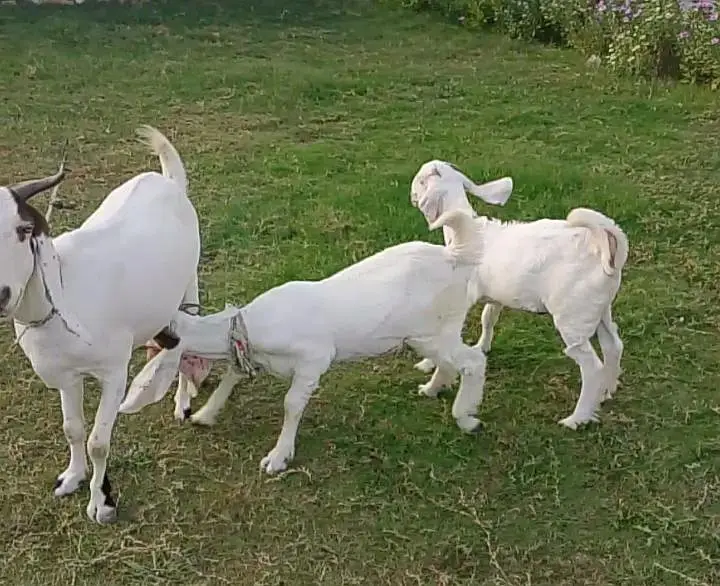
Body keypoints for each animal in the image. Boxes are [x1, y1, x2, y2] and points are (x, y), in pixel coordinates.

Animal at [0, 126, 201, 523]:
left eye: (24, 228)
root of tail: (168, 181)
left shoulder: (113, 372)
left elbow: (98, 442)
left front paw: (101, 502)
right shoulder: (66, 375)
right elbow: (73, 429)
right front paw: (72, 478)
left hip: (190, 282)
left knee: (188, 338)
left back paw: (182, 402)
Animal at [119, 209, 490, 476]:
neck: (252, 327)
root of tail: (455, 255)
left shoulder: (315, 358)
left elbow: (292, 403)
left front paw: (277, 457)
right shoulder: (252, 355)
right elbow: (232, 376)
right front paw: (205, 415)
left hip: (431, 331)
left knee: (474, 360)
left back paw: (466, 417)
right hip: (433, 332)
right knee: (453, 361)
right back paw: (433, 388)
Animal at [410, 160, 629, 429]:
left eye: (422, 180)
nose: (412, 194)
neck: (465, 229)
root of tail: (604, 252)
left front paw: (428, 368)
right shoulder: (496, 293)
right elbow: (488, 317)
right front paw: (483, 346)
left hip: (573, 315)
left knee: (591, 366)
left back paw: (576, 418)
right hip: (599, 309)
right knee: (613, 345)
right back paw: (607, 390)